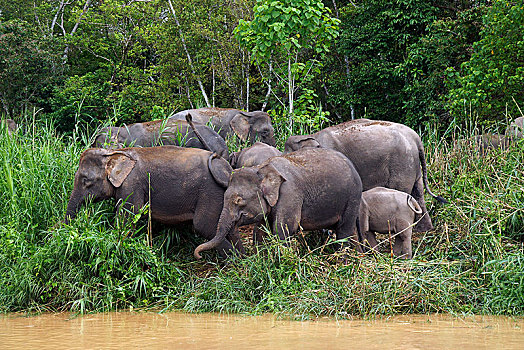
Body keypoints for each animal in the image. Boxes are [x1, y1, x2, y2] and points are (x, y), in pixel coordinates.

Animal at [65, 146, 244, 258]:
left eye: (86, 181)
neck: (114, 152)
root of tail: (227, 169)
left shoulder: (132, 185)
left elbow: (128, 219)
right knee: (230, 229)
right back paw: (241, 260)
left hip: (210, 192)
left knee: (204, 226)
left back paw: (231, 262)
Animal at [194, 148, 362, 260]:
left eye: (239, 201)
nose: (198, 256)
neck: (261, 169)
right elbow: (260, 230)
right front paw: (260, 259)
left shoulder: (290, 194)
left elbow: (284, 228)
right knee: (351, 231)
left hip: (352, 197)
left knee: (344, 230)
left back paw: (342, 262)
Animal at [282, 119, 446, 234]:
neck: (311, 136)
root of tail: (416, 138)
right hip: (413, 165)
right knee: (418, 193)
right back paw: (423, 231)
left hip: (403, 163)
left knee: (404, 192)